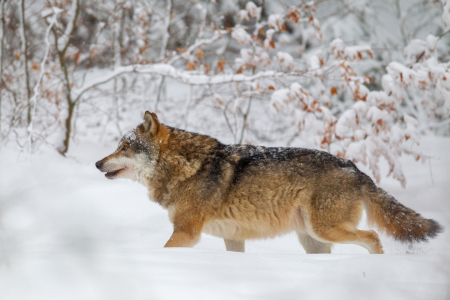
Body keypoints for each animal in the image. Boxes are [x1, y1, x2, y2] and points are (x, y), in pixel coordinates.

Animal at [96, 111, 442, 254]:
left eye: (124, 147)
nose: (97, 163)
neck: (186, 167)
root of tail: (357, 170)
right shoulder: (232, 238)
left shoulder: (186, 233)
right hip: (313, 241)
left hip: (326, 230)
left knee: (373, 238)